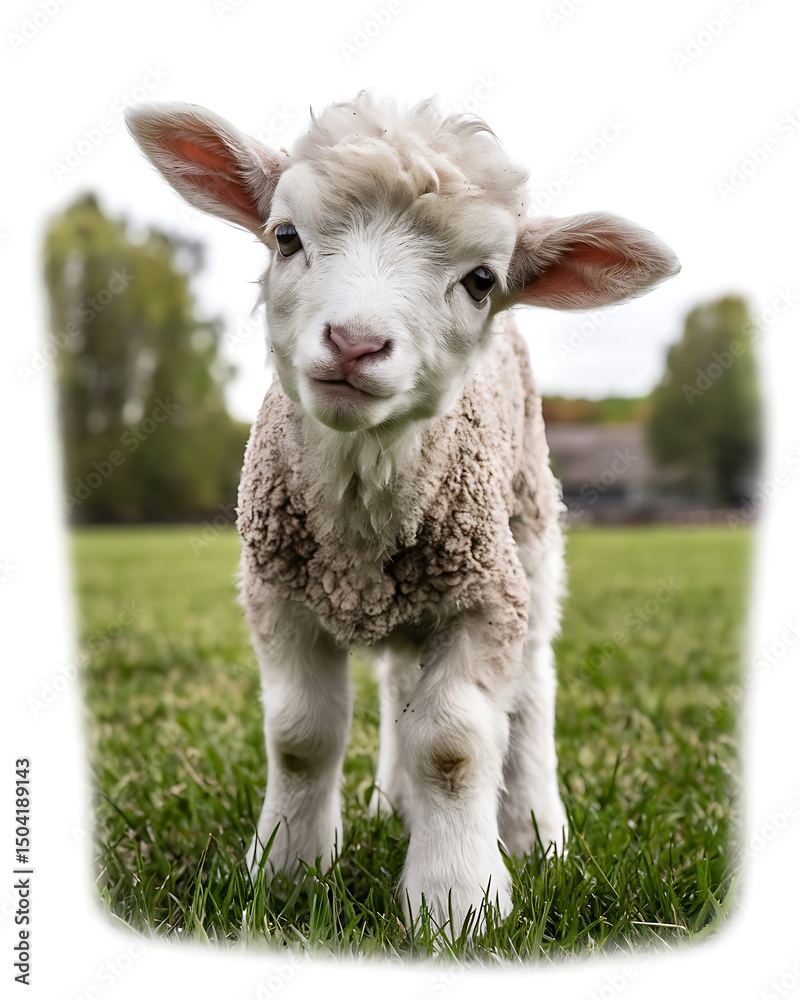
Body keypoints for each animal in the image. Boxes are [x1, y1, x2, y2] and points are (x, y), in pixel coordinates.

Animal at [125, 93, 680, 932]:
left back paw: (533, 830)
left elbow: (453, 745)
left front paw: (457, 900)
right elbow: (300, 736)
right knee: (397, 685)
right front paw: (286, 872)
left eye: (481, 280)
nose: (356, 343)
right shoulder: (278, 596)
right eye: (285, 236)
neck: (359, 510)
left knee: (530, 688)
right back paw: (395, 804)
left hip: (529, 535)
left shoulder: (485, 599)